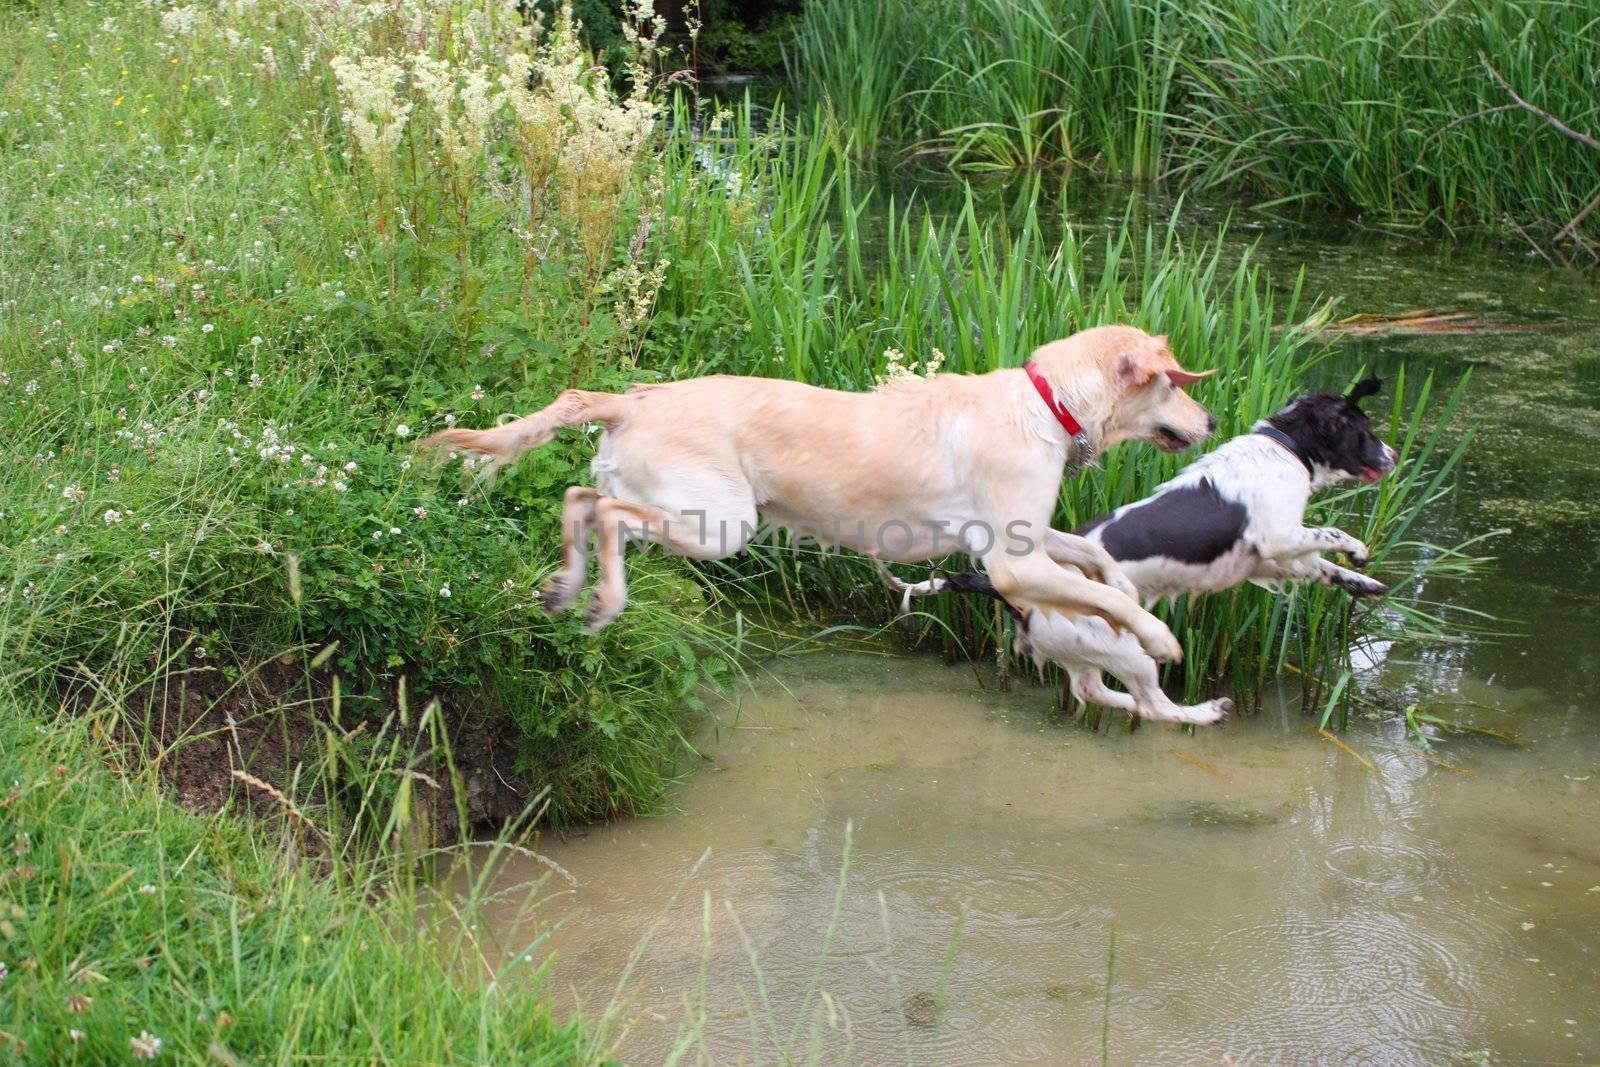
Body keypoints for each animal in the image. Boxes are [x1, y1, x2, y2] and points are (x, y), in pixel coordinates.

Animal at [883, 377, 1395, 726]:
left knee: (1094, 692)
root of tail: (1011, 593)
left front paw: (1365, 581)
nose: (1392, 456)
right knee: (1156, 706)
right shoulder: (1278, 536)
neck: (1284, 447)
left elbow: (1323, 567)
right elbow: (1332, 533)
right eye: (1365, 432)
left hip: (1085, 650)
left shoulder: (1269, 560)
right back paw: (1207, 711)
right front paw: (1359, 550)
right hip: (1131, 647)